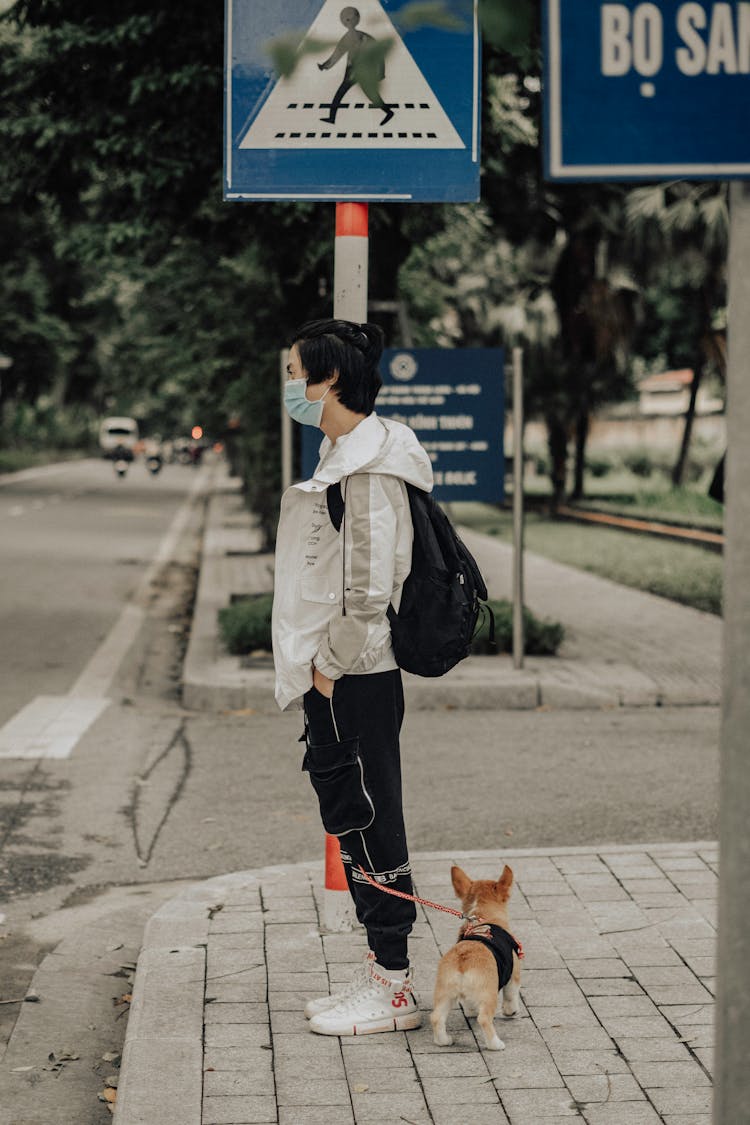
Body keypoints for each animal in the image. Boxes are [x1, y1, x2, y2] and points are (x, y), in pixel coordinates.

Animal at [434, 864, 521, 1048]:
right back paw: (496, 1044)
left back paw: (443, 1041)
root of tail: (462, 962)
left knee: (437, 1017)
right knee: (484, 1019)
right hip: (489, 993)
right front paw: (511, 1012)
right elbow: (511, 995)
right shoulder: (514, 975)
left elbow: (469, 1005)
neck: (483, 915)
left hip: (445, 993)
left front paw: (470, 1011)